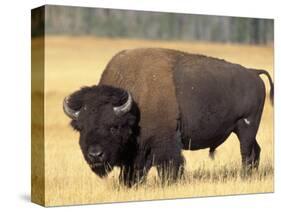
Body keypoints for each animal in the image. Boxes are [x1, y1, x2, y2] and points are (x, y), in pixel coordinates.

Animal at [62, 47, 272, 186]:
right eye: (81, 128)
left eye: (114, 126)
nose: (95, 154)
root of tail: (253, 73)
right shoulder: (137, 151)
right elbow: (134, 170)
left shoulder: (164, 142)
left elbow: (169, 165)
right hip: (243, 129)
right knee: (256, 150)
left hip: (246, 126)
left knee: (246, 152)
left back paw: (245, 177)